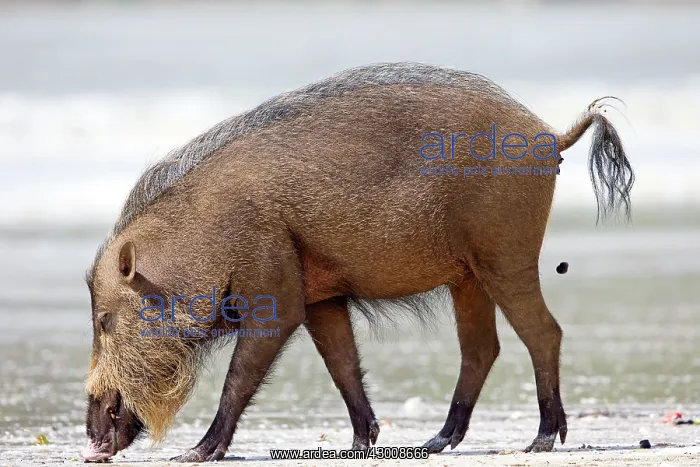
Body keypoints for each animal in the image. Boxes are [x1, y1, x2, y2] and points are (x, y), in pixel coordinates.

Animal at [82, 62, 634, 462]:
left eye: (105, 320)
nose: (90, 443)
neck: (205, 240)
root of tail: (550, 135)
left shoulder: (275, 293)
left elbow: (240, 375)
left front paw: (195, 454)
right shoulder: (321, 298)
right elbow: (342, 364)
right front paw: (358, 446)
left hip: (507, 254)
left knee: (543, 333)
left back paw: (539, 441)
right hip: (468, 275)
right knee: (482, 348)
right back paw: (435, 443)